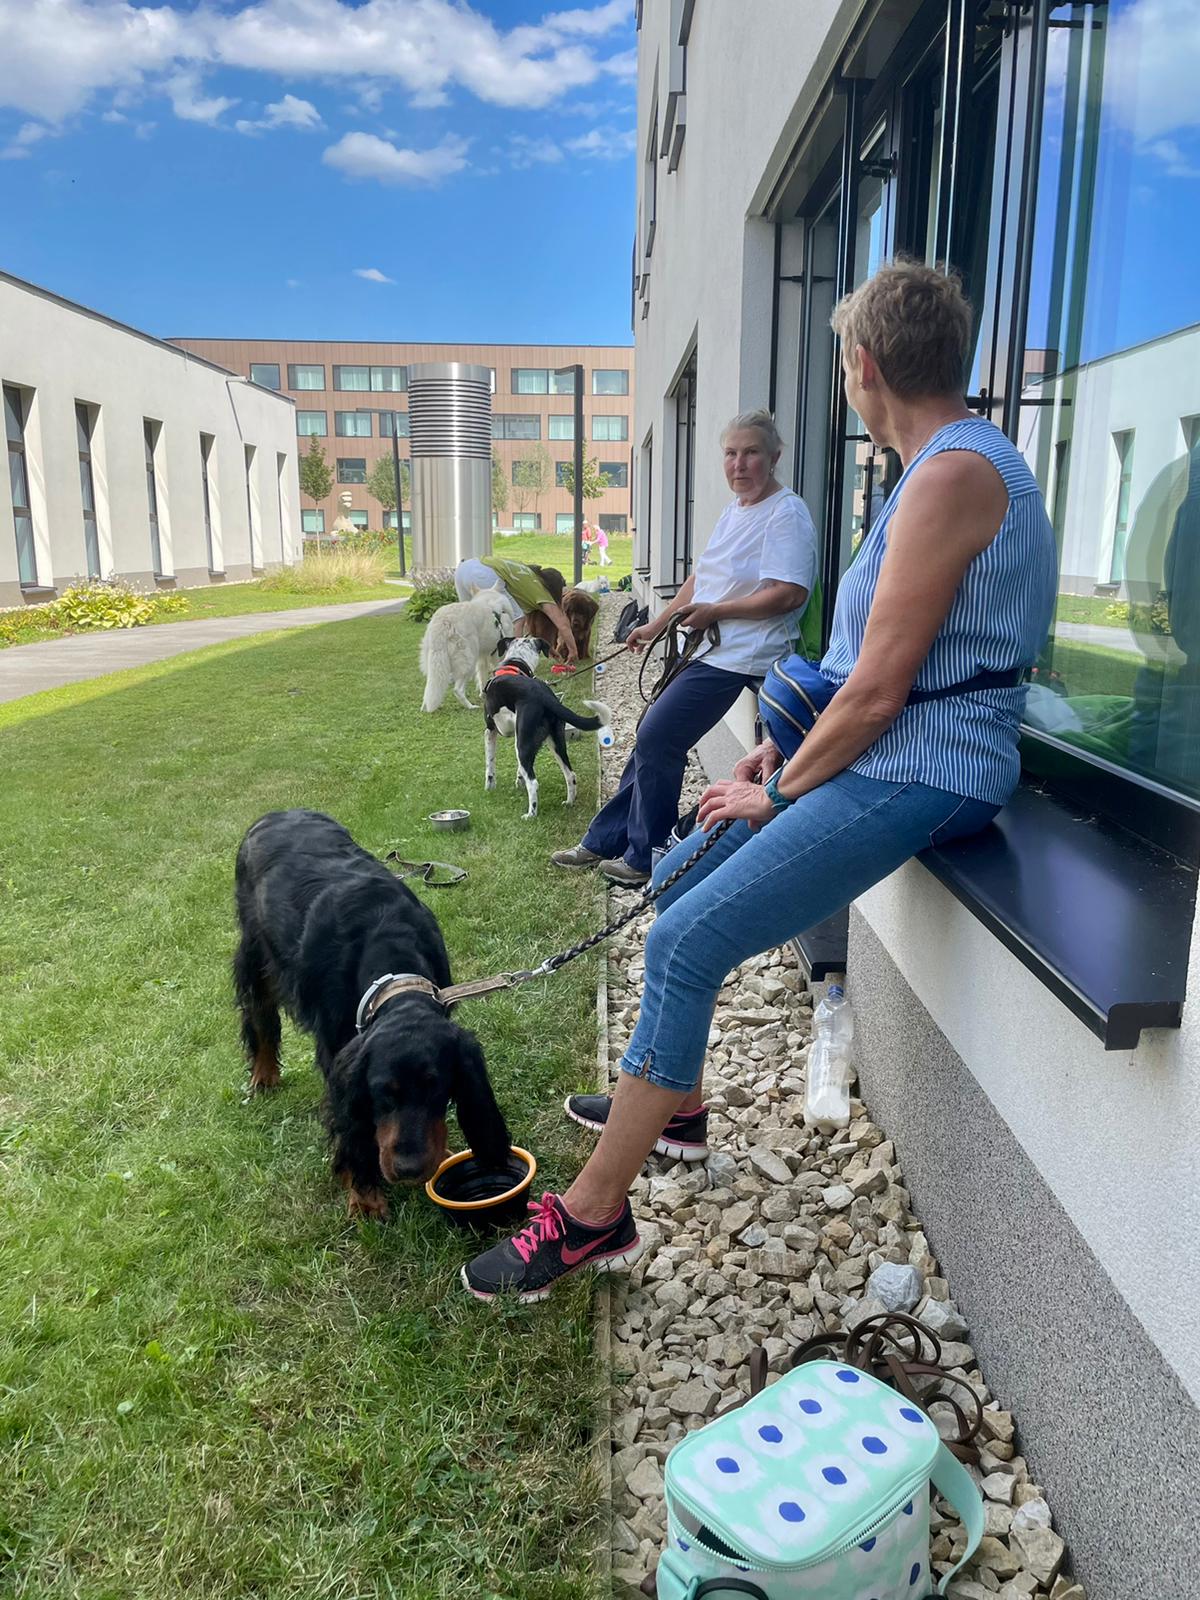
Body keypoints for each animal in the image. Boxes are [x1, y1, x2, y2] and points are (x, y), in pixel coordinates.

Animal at [233, 809, 510, 1218]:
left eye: (437, 1088)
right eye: (382, 1092)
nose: (409, 1168)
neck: (391, 970)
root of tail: (275, 813)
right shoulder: (337, 1053)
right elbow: (352, 1124)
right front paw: (364, 1194)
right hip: (255, 949)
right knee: (260, 1012)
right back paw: (264, 1075)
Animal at [483, 638, 612, 820]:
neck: (515, 662)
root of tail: (544, 695)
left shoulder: (490, 731)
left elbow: (490, 763)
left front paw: (490, 787)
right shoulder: (518, 737)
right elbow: (519, 768)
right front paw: (519, 780)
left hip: (525, 744)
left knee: (533, 783)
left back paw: (531, 814)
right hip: (555, 743)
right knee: (570, 775)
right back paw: (569, 802)